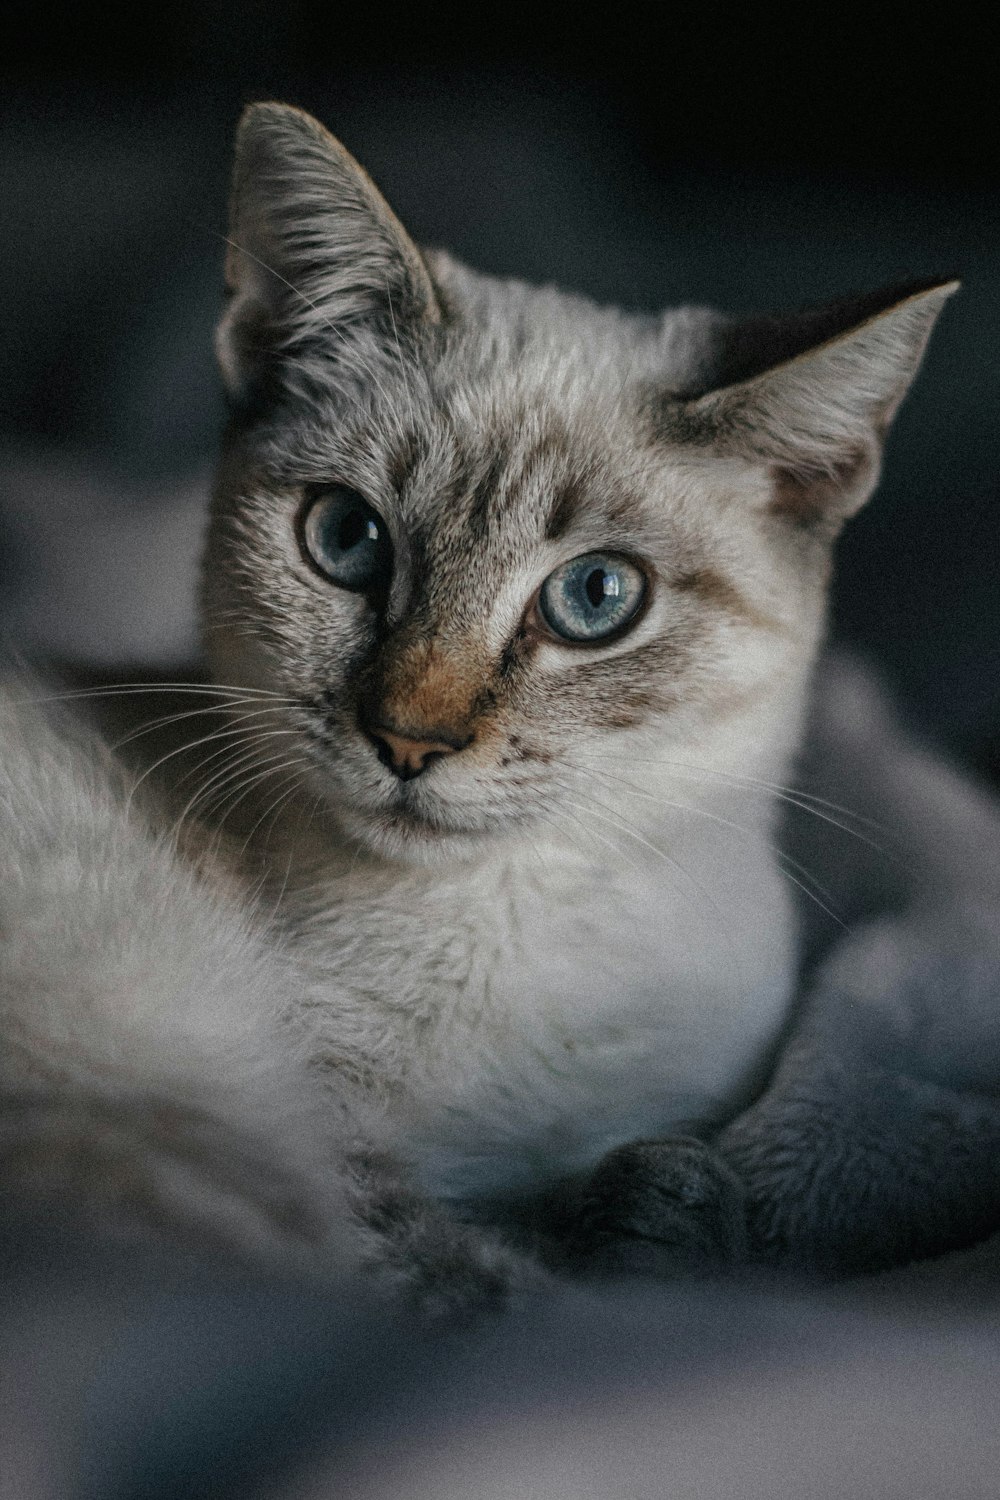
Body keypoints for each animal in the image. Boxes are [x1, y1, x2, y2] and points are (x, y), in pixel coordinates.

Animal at [1, 99, 1000, 1308]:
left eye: (595, 598)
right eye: (348, 540)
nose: (408, 739)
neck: (519, 923)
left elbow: (695, 1202)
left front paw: (663, 1210)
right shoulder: (348, 1169)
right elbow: (510, 1287)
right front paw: (627, 1244)